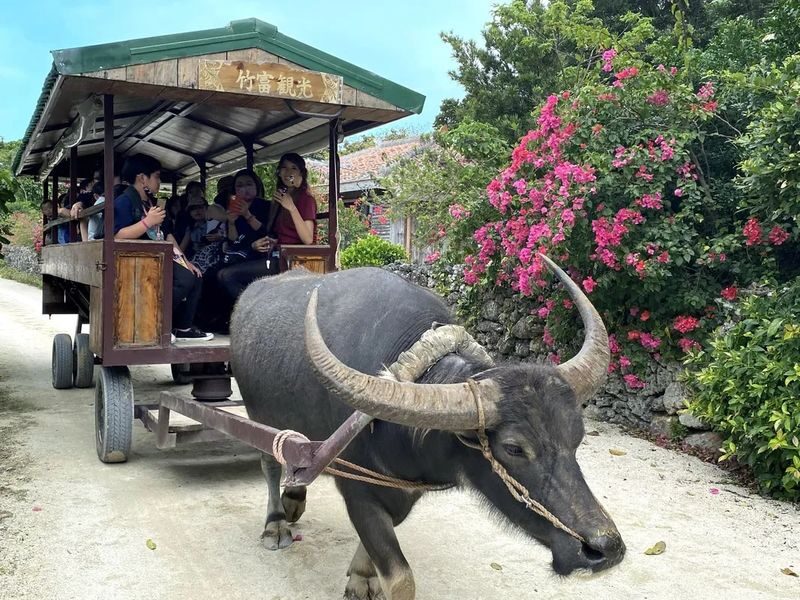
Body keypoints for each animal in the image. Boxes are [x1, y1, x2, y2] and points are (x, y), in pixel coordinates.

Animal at [230, 256, 625, 600]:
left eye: (576, 438)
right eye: (514, 448)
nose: (604, 548)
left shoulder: (404, 491)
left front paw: (360, 577)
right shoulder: (357, 490)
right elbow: (400, 577)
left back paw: (294, 498)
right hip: (258, 414)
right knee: (270, 463)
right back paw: (276, 524)